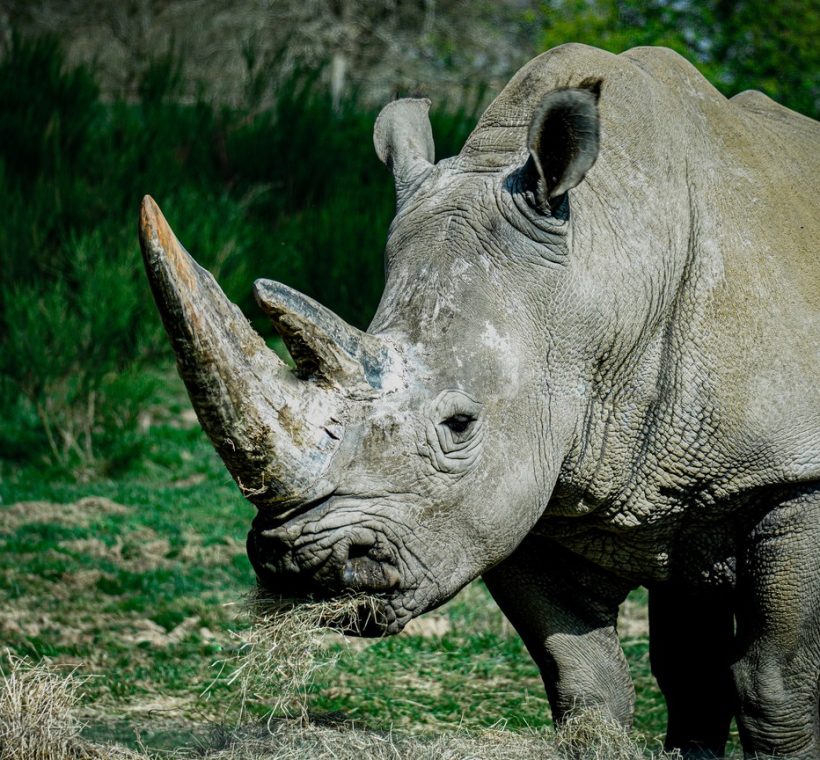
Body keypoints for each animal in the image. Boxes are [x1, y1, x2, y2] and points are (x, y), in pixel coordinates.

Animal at [139, 44, 819, 759]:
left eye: (460, 424)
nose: (301, 566)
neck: (605, 267)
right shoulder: (525, 482)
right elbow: (582, 677)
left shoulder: (791, 470)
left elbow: (774, 681)